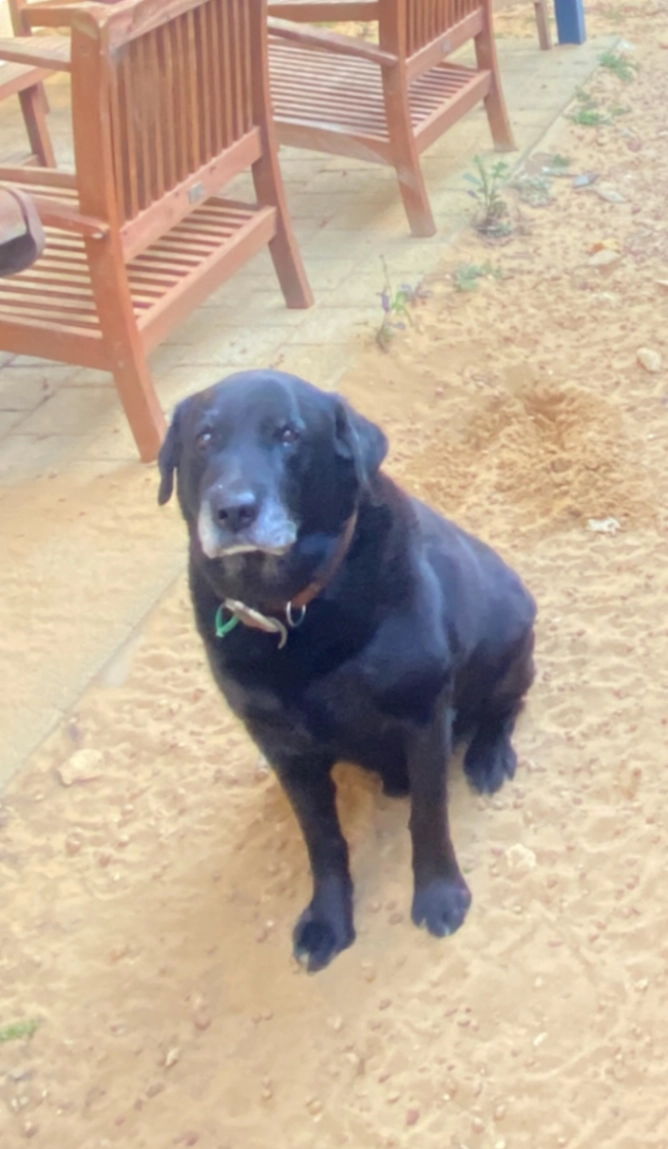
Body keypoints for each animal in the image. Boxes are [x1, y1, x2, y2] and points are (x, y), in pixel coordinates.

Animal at [158, 370, 536, 972]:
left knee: (508, 702)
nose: (233, 511)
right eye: (205, 438)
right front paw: (328, 919)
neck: (292, 609)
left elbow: (429, 816)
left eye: (289, 434)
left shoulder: (423, 717)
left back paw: (488, 753)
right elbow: (322, 839)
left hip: (511, 636)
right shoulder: (282, 746)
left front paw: (439, 894)